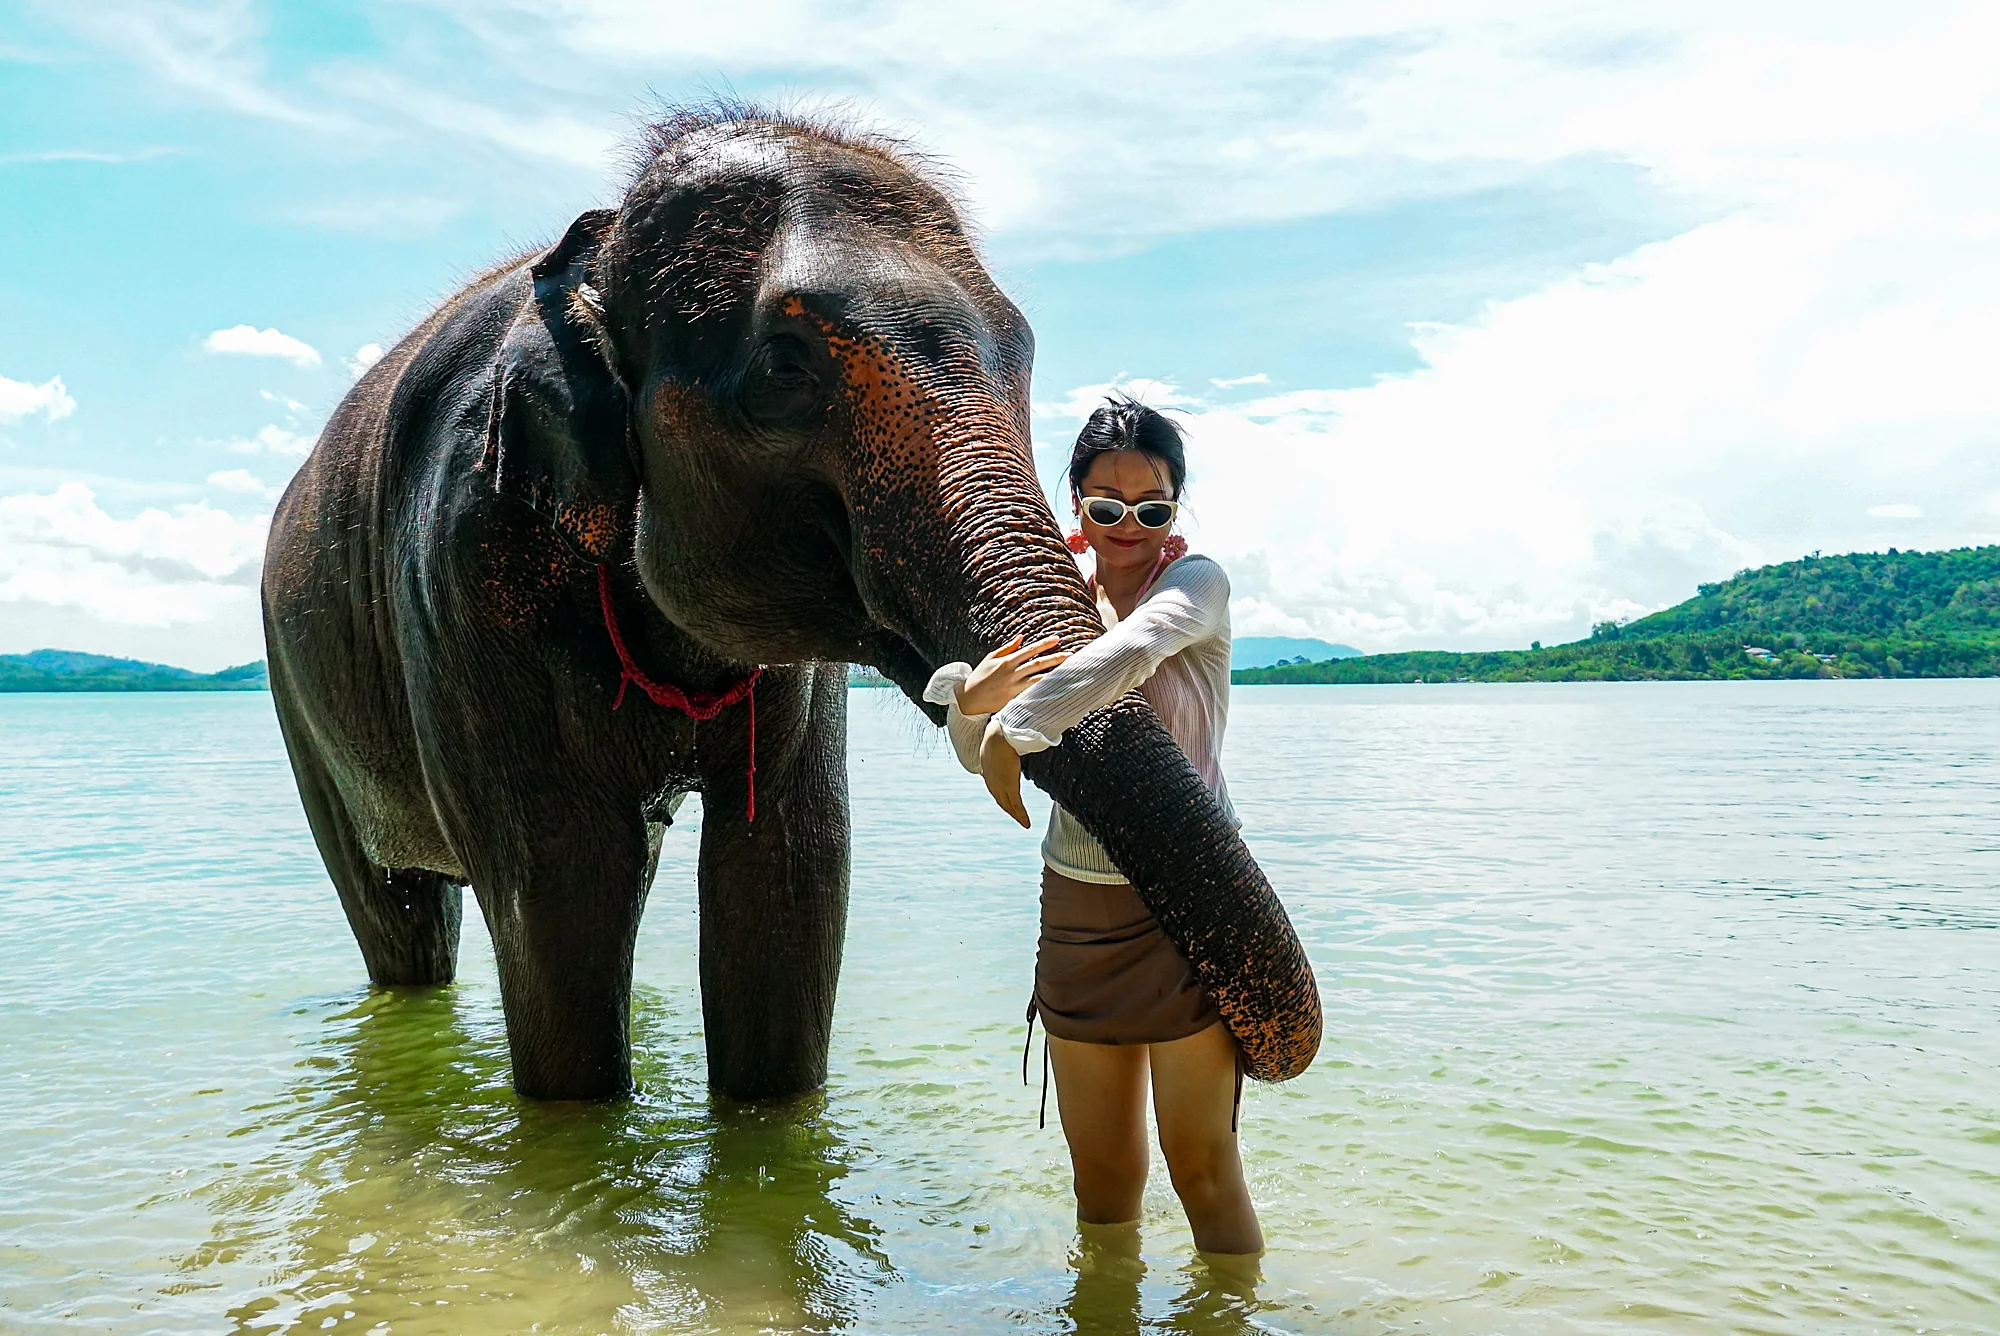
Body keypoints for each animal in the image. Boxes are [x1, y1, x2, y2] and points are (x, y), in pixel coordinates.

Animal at [262, 105, 1320, 1103]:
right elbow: (560, 891)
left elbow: (789, 884)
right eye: (784, 366)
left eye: (1022, 355)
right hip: (296, 694)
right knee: (399, 913)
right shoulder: (470, 577)